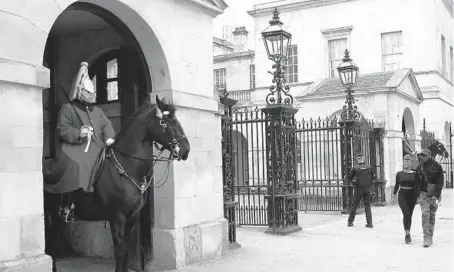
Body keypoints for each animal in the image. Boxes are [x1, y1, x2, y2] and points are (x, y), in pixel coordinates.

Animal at [44, 96, 190, 272]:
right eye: (166, 122)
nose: (186, 150)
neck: (126, 166)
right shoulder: (117, 217)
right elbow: (120, 251)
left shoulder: (132, 218)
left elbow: (126, 251)